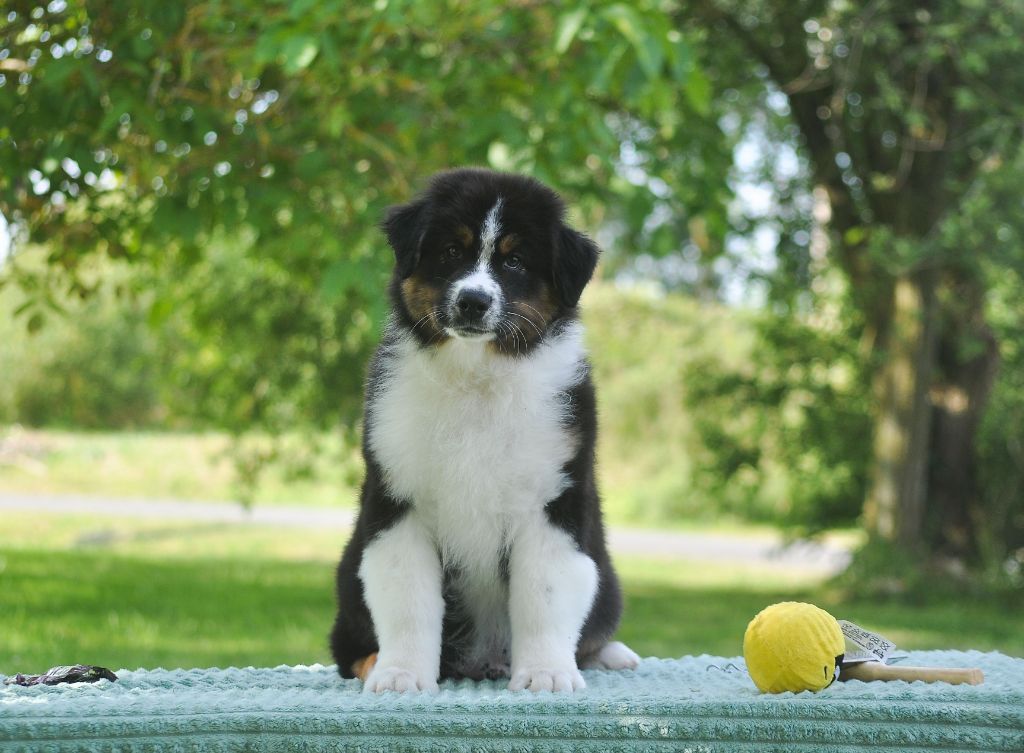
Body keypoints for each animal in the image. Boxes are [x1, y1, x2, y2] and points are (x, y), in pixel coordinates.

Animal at [327, 168, 634, 692]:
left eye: (514, 260)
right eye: (452, 250)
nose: (473, 301)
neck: (476, 377)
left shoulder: (551, 499)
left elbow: (544, 594)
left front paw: (546, 674)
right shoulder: (400, 500)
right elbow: (407, 598)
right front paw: (402, 675)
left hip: (606, 577)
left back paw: (611, 654)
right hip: (349, 575)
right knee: (347, 647)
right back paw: (374, 662)